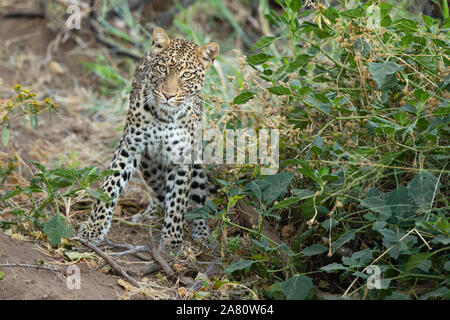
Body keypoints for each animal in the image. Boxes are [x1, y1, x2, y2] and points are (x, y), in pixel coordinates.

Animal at [78, 27, 221, 248]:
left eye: (187, 75)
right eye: (163, 68)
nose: (168, 95)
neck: (165, 116)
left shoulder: (182, 156)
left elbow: (179, 198)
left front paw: (171, 239)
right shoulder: (130, 146)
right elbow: (110, 185)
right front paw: (94, 227)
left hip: (195, 161)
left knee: (197, 200)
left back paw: (202, 232)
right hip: (148, 164)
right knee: (160, 193)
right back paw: (151, 213)